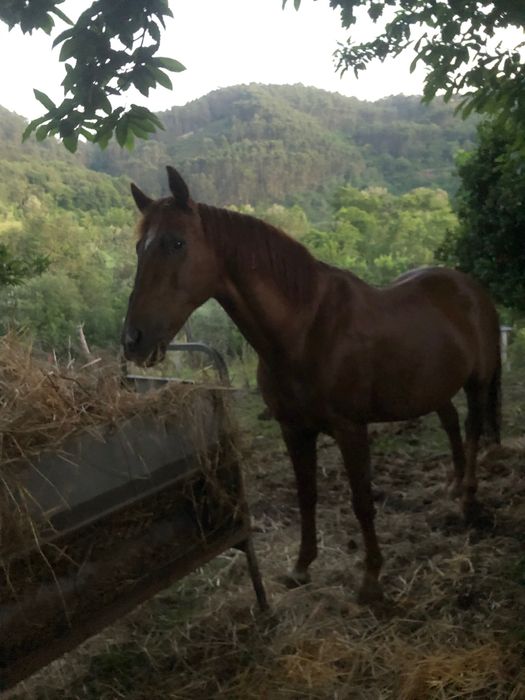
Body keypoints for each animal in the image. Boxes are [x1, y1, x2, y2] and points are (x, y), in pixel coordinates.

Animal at [122, 166, 501, 604]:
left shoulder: (350, 429)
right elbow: (306, 495)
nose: (133, 340)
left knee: (473, 429)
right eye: (139, 248)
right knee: (452, 422)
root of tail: (469, 287)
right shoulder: (294, 429)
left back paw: (469, 498)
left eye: (177, 243)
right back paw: (454, 486)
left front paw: (371, 577)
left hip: (477, 382)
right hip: (434, 386)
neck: (305, 330)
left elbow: (361, 501)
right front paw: (302, 566)